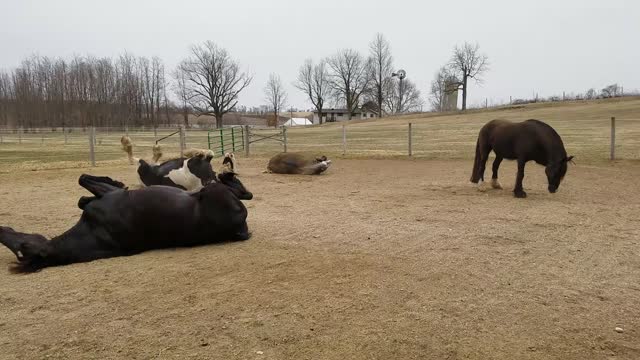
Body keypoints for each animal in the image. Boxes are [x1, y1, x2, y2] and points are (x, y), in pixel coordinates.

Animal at [0, 174, 250, 272]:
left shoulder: (110, 195)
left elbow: (83, 185)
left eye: (21, 245)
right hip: (212, 191)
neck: (94, 232)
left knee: (230, 185)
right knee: (230, 187)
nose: (2, 228)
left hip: (211, 190)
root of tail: (241, 228)